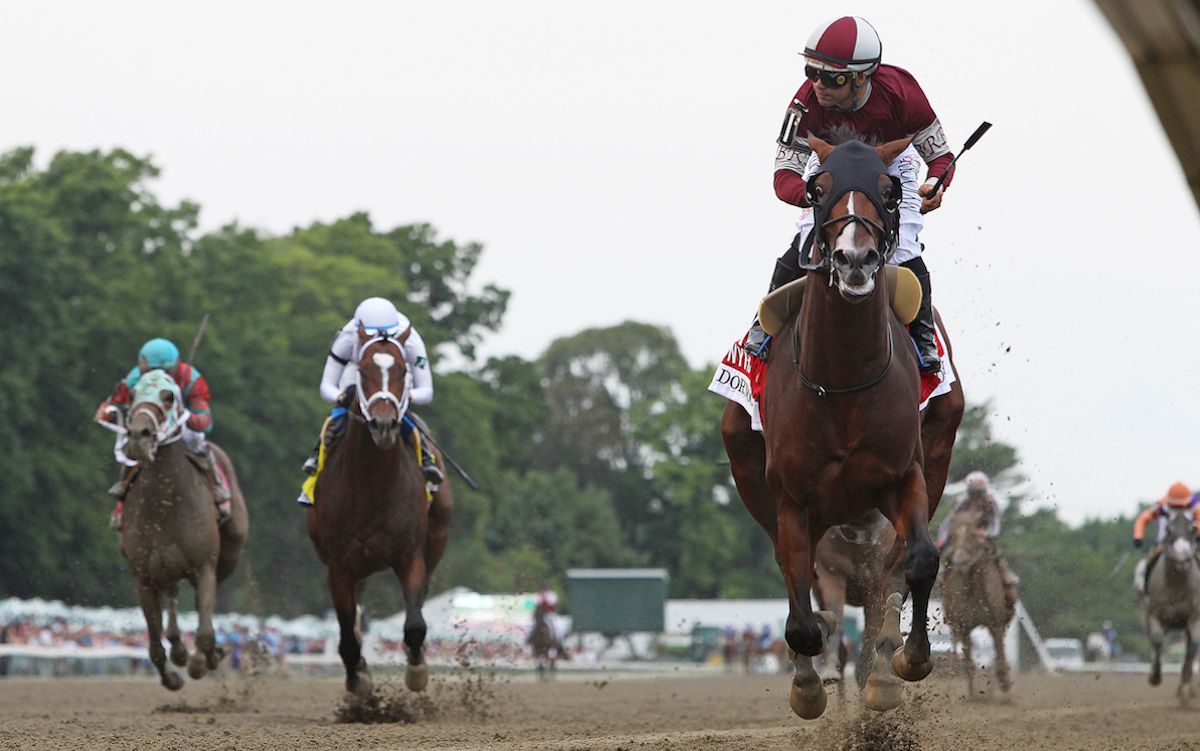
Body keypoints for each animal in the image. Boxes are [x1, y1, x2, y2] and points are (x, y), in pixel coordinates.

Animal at [105, 369, 248, 691]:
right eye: (132, 395)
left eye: (169, 397)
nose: (139, 435)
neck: (164, 503)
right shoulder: (144, 578)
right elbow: (154, 644)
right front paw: (171, 675)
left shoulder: (204, 566)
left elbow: (205, 634)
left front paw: (202, 660)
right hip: (166, 569)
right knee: (171, 598)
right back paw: (179, 649)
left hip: (230, 551)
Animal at [309, 323, 453, 700]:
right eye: (361, 370)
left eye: (403, 370)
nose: (384, 425)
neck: (371, 486)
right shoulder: (338, 563)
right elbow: (347, 635)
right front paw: (357, 677)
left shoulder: (409, 554)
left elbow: (415, 624)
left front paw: (417, 671)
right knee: (355, 615)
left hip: (437, 539)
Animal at [720, 136, 964, 719]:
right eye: (817, 188)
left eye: (890, 189)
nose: (855, 259)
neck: (843, 383)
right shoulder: (792, 499)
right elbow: (801, 607)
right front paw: (810, 683)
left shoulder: (904, 476)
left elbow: (919, 562)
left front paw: (907, 660)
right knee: (799, 584)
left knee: (892, 580)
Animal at [940, 503, 1017, 695]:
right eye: (952, 534)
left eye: (973, 534)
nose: (959, 560)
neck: (973, 588)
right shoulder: (963, 625)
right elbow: (968, 663)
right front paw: (973, 694)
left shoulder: (995, 623)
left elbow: (1000, 659)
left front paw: (1005, 687)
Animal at [1132, 506, 1200, 700]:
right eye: (1169, 530)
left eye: (1193, 529)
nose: (1182, 556)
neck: (1177, 585)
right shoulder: (1153, 614)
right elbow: (1156, 640)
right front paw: (1155, 677)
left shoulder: (1195, 618)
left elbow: (1193, 646)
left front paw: (1185, 688)